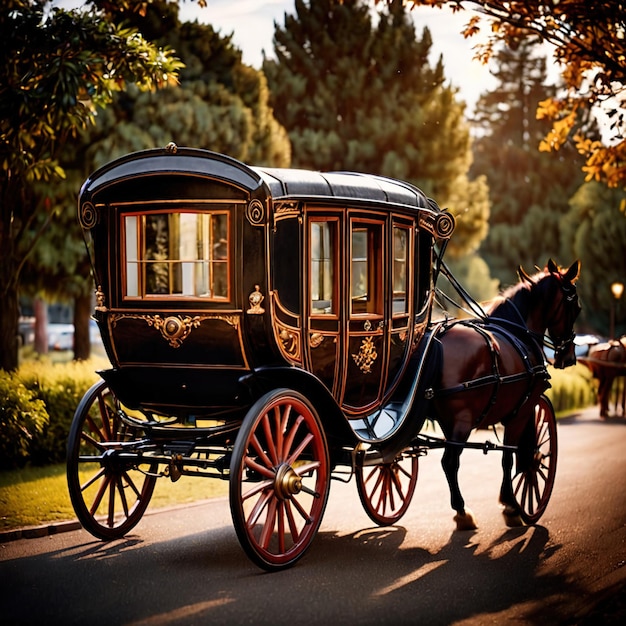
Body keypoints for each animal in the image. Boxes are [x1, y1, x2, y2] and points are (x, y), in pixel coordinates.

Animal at [428, 258, 580, 528]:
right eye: (576, 308)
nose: (569, 357)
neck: (519, 333)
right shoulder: (524, 408)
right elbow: (513, 454)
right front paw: (511, 504)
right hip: (463, 421)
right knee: (450, 461)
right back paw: (462, 511)